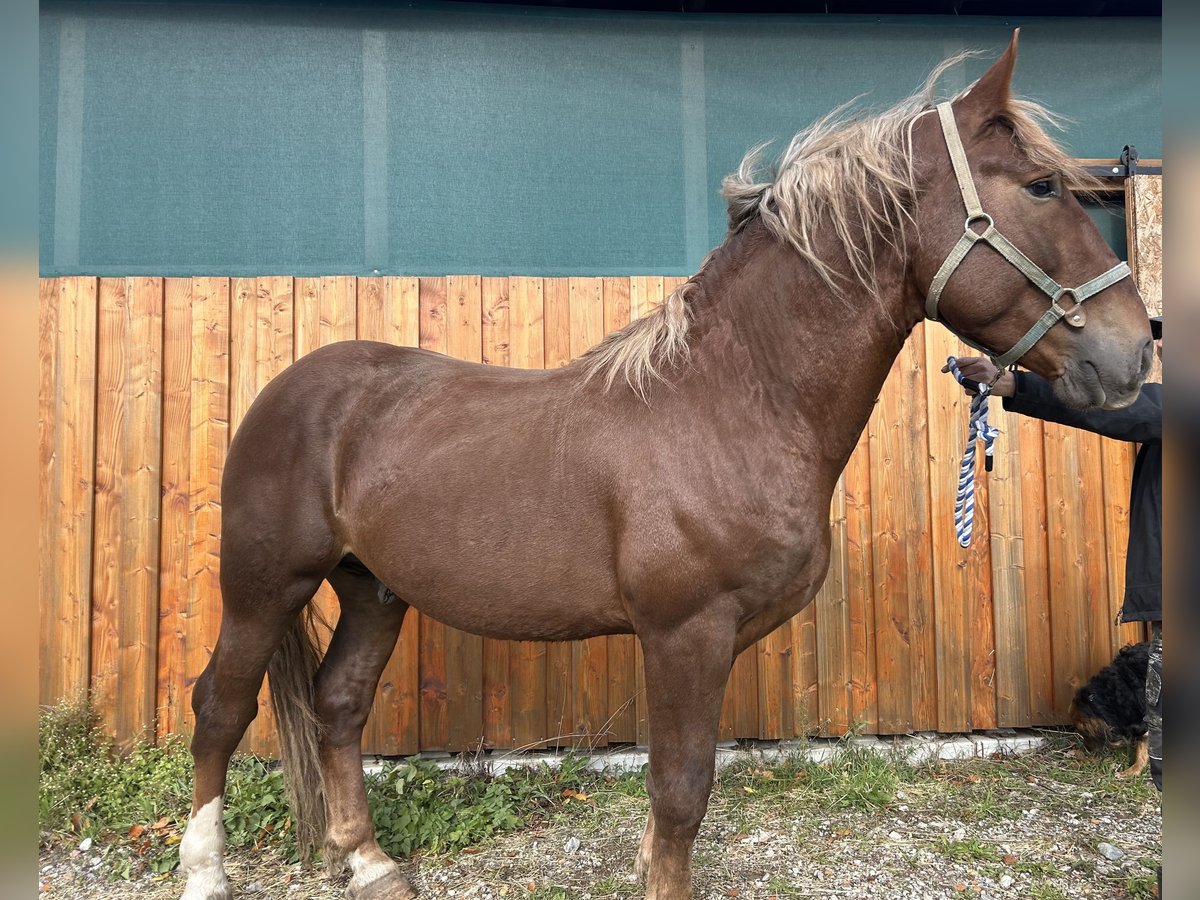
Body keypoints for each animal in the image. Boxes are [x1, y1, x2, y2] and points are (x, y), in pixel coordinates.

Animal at [178, 30, 1152, 900]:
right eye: (1040, 186)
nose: (1134, 351)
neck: (727, 406)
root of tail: (292, 389)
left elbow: (671, 801)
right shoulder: (685, 631)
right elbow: (681, 792)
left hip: (373, 587)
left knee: (340, 704)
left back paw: (369, 863)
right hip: (264, 583)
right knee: (219, 709)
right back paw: (205, 872)